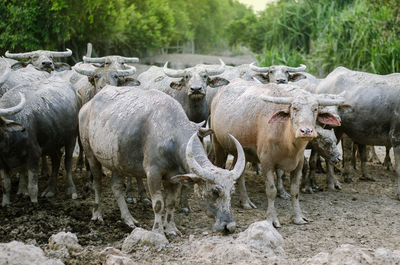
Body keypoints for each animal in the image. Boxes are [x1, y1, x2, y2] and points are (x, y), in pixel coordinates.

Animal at [0, 76, 79, 204]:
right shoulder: (1, 161)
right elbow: (6, 184)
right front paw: (5, 203)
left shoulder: (34, 154)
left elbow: (32, 186)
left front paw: (34, 203)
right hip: (53, 141)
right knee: (56, 160)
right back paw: (50, 190)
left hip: (71, 138)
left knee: (67, 162)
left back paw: (71, 190)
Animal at [78, 85, 244, 235]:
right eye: (215, 191)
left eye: (232, 191)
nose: (229, 226)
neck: (172, 136)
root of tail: (87, 106)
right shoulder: (153, 173)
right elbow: (158, 204)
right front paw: (158, 231)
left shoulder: (175, 177)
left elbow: (170, 203)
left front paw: (171, 229)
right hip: (90, 153)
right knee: (97, 183)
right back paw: (97, 214)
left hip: (117, 162)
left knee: (116, 186)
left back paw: (129, 219)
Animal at [211, 79, 346, 226]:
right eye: (294, 108)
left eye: (315, 109)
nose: (306, 131)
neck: (287, 142)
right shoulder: (266, 163)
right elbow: (271, 191)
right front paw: (272, 218)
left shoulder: (298, 164)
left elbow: (294, 190)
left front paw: (298, 217)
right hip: (218, 144)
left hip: (240, 151)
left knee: (238, 172)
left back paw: (245, 202)